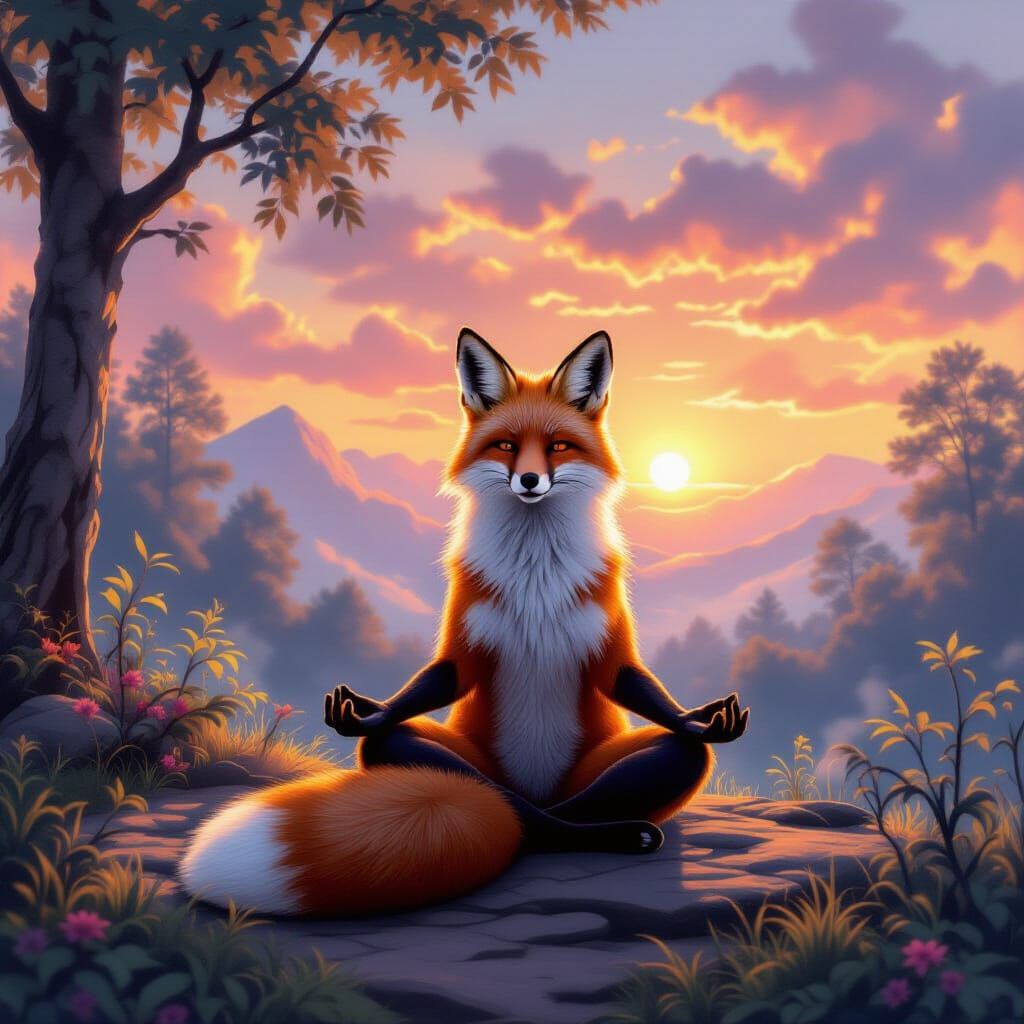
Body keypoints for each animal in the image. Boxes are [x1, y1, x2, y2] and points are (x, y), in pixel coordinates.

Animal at [180, 329, 749, 916]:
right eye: (506, 445)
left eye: (557, 447)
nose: (529, 480)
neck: (535, 575)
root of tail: (539, 790)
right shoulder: (464, 632)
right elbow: (437, 681)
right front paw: (370, 710)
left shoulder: (609, 629)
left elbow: (631, 682)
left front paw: (694, 718)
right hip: (452, 758)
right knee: (447, 771)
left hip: (599, 769)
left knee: (657, 763)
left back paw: (619, 827)